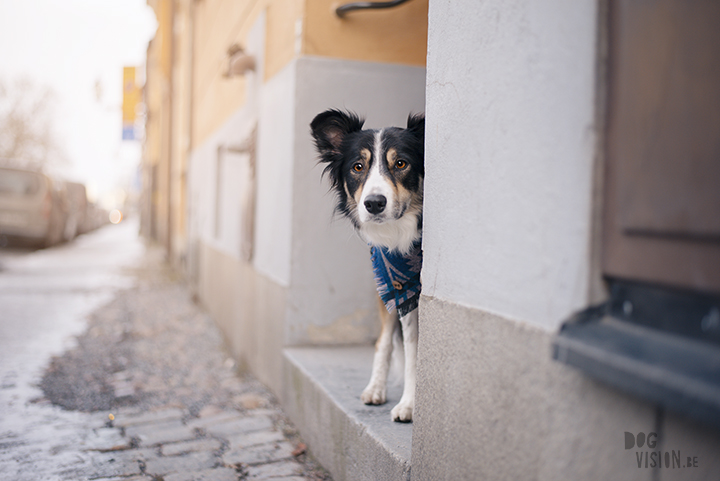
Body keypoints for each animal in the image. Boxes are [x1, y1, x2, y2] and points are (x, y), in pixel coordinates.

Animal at [308, 109, 422, 420]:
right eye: (358, 167)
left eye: (401, 163)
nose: (374, 203)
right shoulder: (403, 287)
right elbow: (411, 348)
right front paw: (410, 404)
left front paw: (411, 403)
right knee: (383, 340)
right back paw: (375, 388)